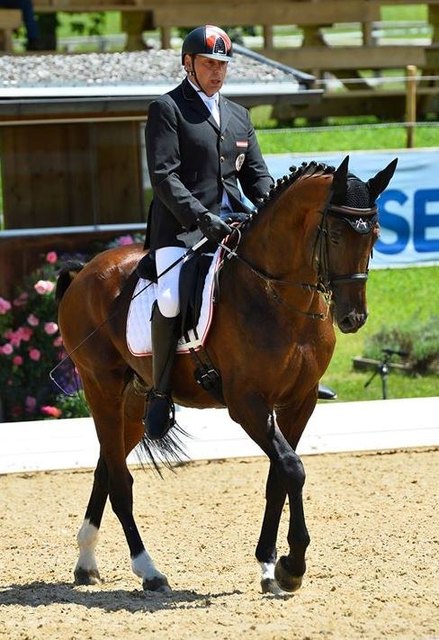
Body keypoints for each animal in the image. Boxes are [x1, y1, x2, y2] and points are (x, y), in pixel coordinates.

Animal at [55, 155, 398, 596]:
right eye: (336, 235)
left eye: (374, 235)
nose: (353, 318)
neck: (280, 295)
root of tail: (84, 271)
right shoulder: (247, 403)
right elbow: (292, 469)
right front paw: (292, 566)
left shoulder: (299, 401)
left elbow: (278, 477)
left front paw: (269, 566)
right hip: (103, 389)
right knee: (120, 482)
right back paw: (149, 570)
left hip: (131, 403)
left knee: (106, 468)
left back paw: (86, 563)